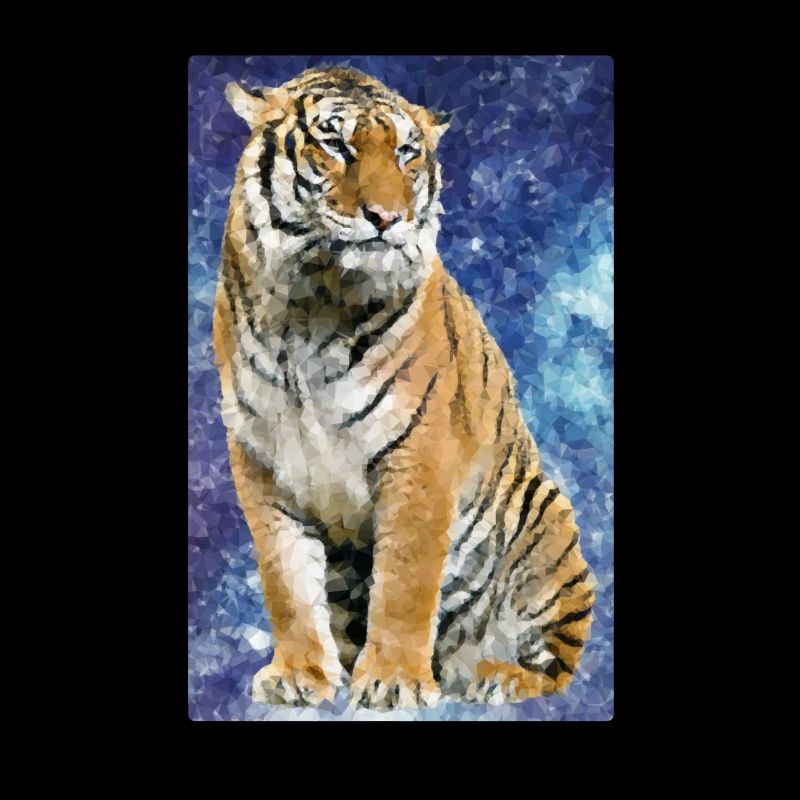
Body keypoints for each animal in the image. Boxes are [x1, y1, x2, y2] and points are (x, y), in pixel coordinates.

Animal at [212, 66, 596, 710]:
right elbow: (286, 581)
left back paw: (497, 677)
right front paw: (300, 675)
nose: (387, 218)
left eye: (405, 152)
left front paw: (394, 681)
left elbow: (405, 580)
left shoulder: (419, 454)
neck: (311, 304)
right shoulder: (260, 459)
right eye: (335, 145)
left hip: (548, 525)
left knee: (555, 663)